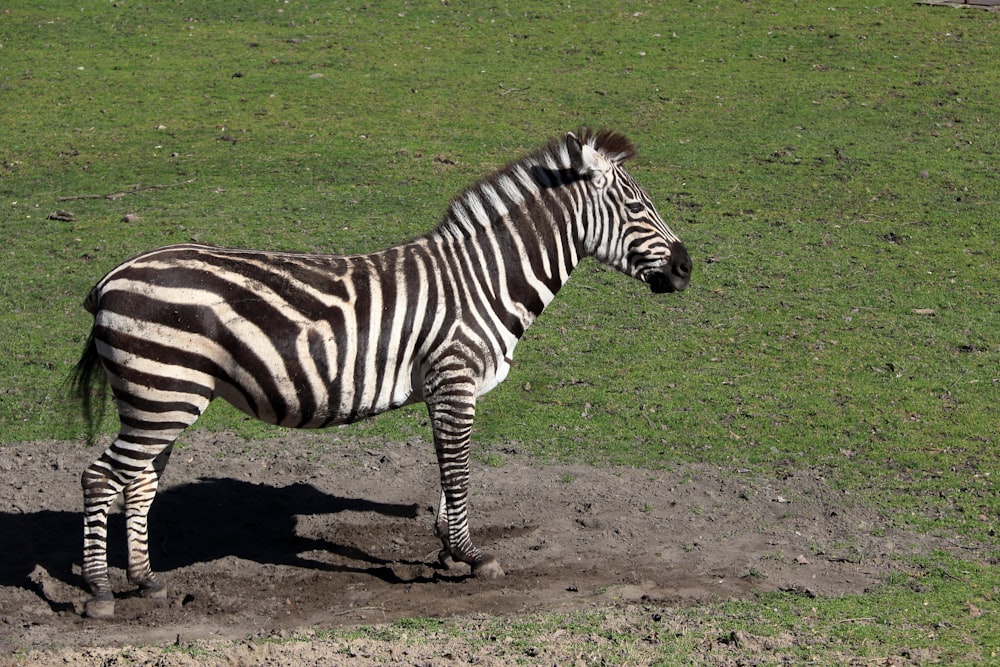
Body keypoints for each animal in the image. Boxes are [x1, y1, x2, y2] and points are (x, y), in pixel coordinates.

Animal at [72, 128, 696, 620]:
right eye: (637, 207)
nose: (688, 267)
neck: (485, 280)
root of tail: (110, 279)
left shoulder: (443, 387)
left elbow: (447, 469)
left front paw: (446, 549)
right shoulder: (454, 377)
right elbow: (459, 471)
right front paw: (472, 557)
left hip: (161, 399)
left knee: (139, 483)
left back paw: (147, 582)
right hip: (161, 395)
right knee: (100, 478)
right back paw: (100, 592)